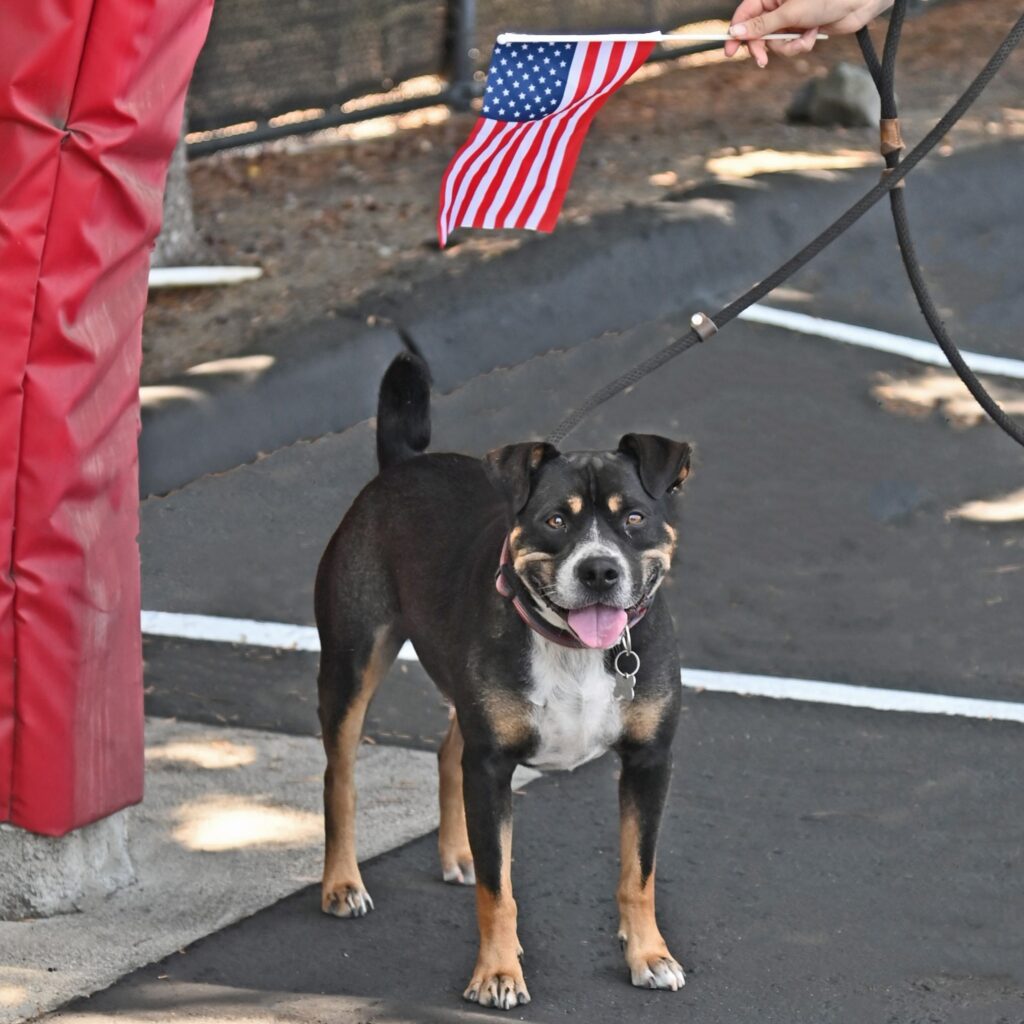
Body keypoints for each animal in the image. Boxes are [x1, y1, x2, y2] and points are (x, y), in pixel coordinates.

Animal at [315, 352, 692, 1007]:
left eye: (635, 518)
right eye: (555, 520)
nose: (599, 570)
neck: (571, 648)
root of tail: (402, 463)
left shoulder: (649, 760)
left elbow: (637, 873)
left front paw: (649, 955)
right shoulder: (492, 767)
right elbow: (498, 891)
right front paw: (496, 973)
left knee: (447, 752)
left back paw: (458, 852)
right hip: (351, 662)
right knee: (340, 777)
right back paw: (341, 884)